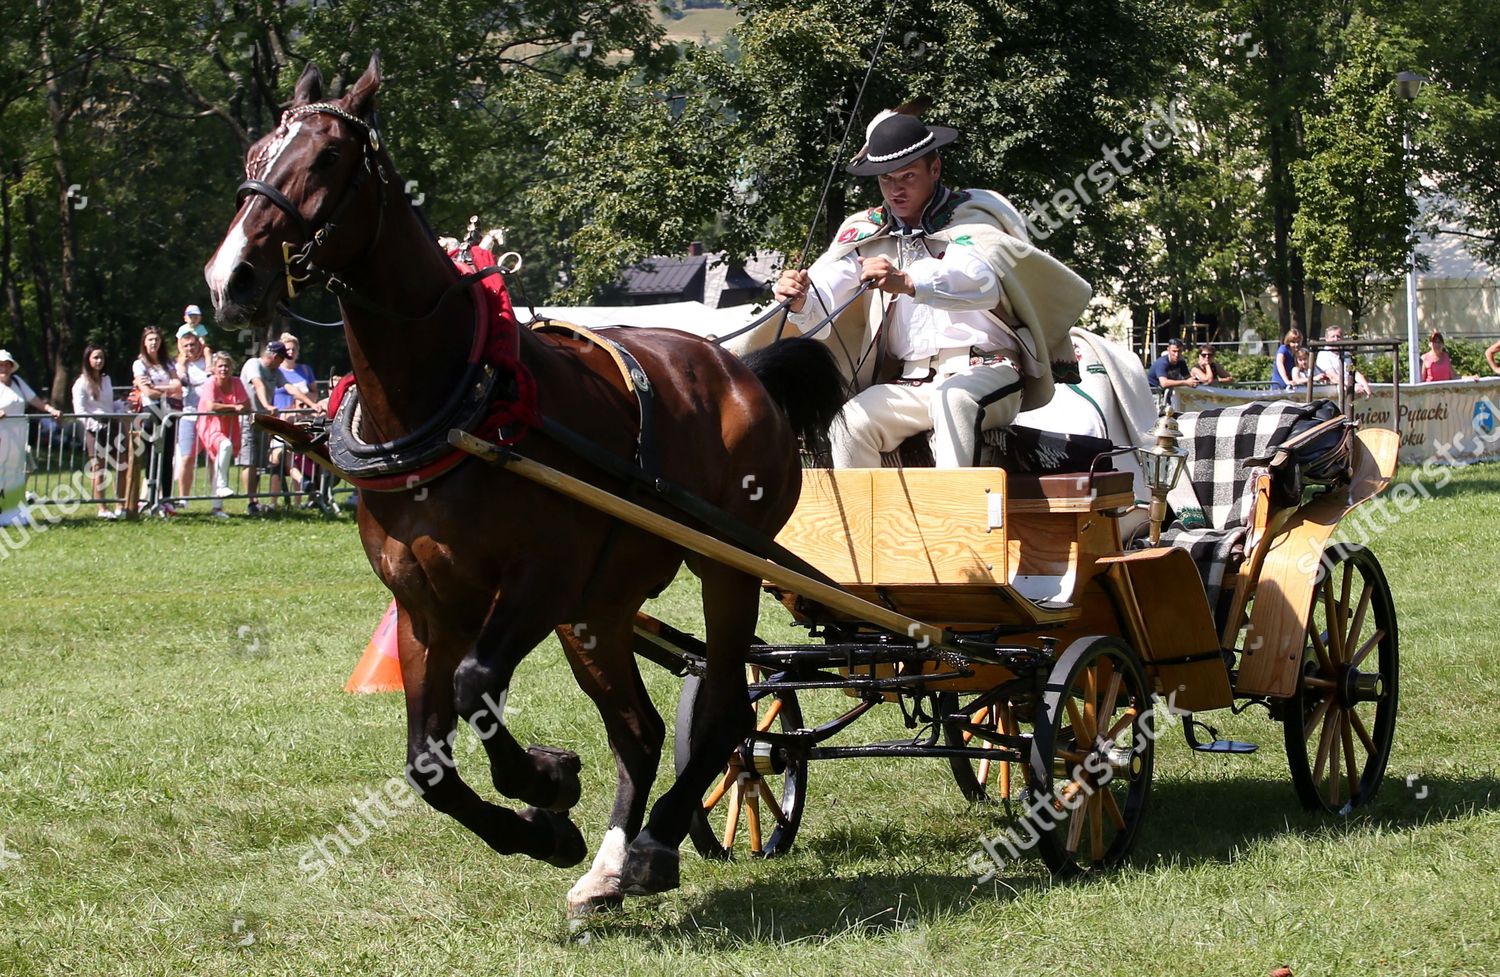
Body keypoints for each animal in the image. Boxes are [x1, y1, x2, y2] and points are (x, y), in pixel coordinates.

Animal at [202, 53, 846, 912]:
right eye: (253, 157)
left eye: (329, 159)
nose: (231, 277)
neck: (451, 402)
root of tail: (744, 369)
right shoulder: (425, 609)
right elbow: (427, 762)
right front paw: (544, 827)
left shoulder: (537, 582)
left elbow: (476, 684)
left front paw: (546, 780)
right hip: (599, 609)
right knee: (640, 729)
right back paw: (607, 865)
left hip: (723, 567)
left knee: (726, 710)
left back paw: (653, 843)